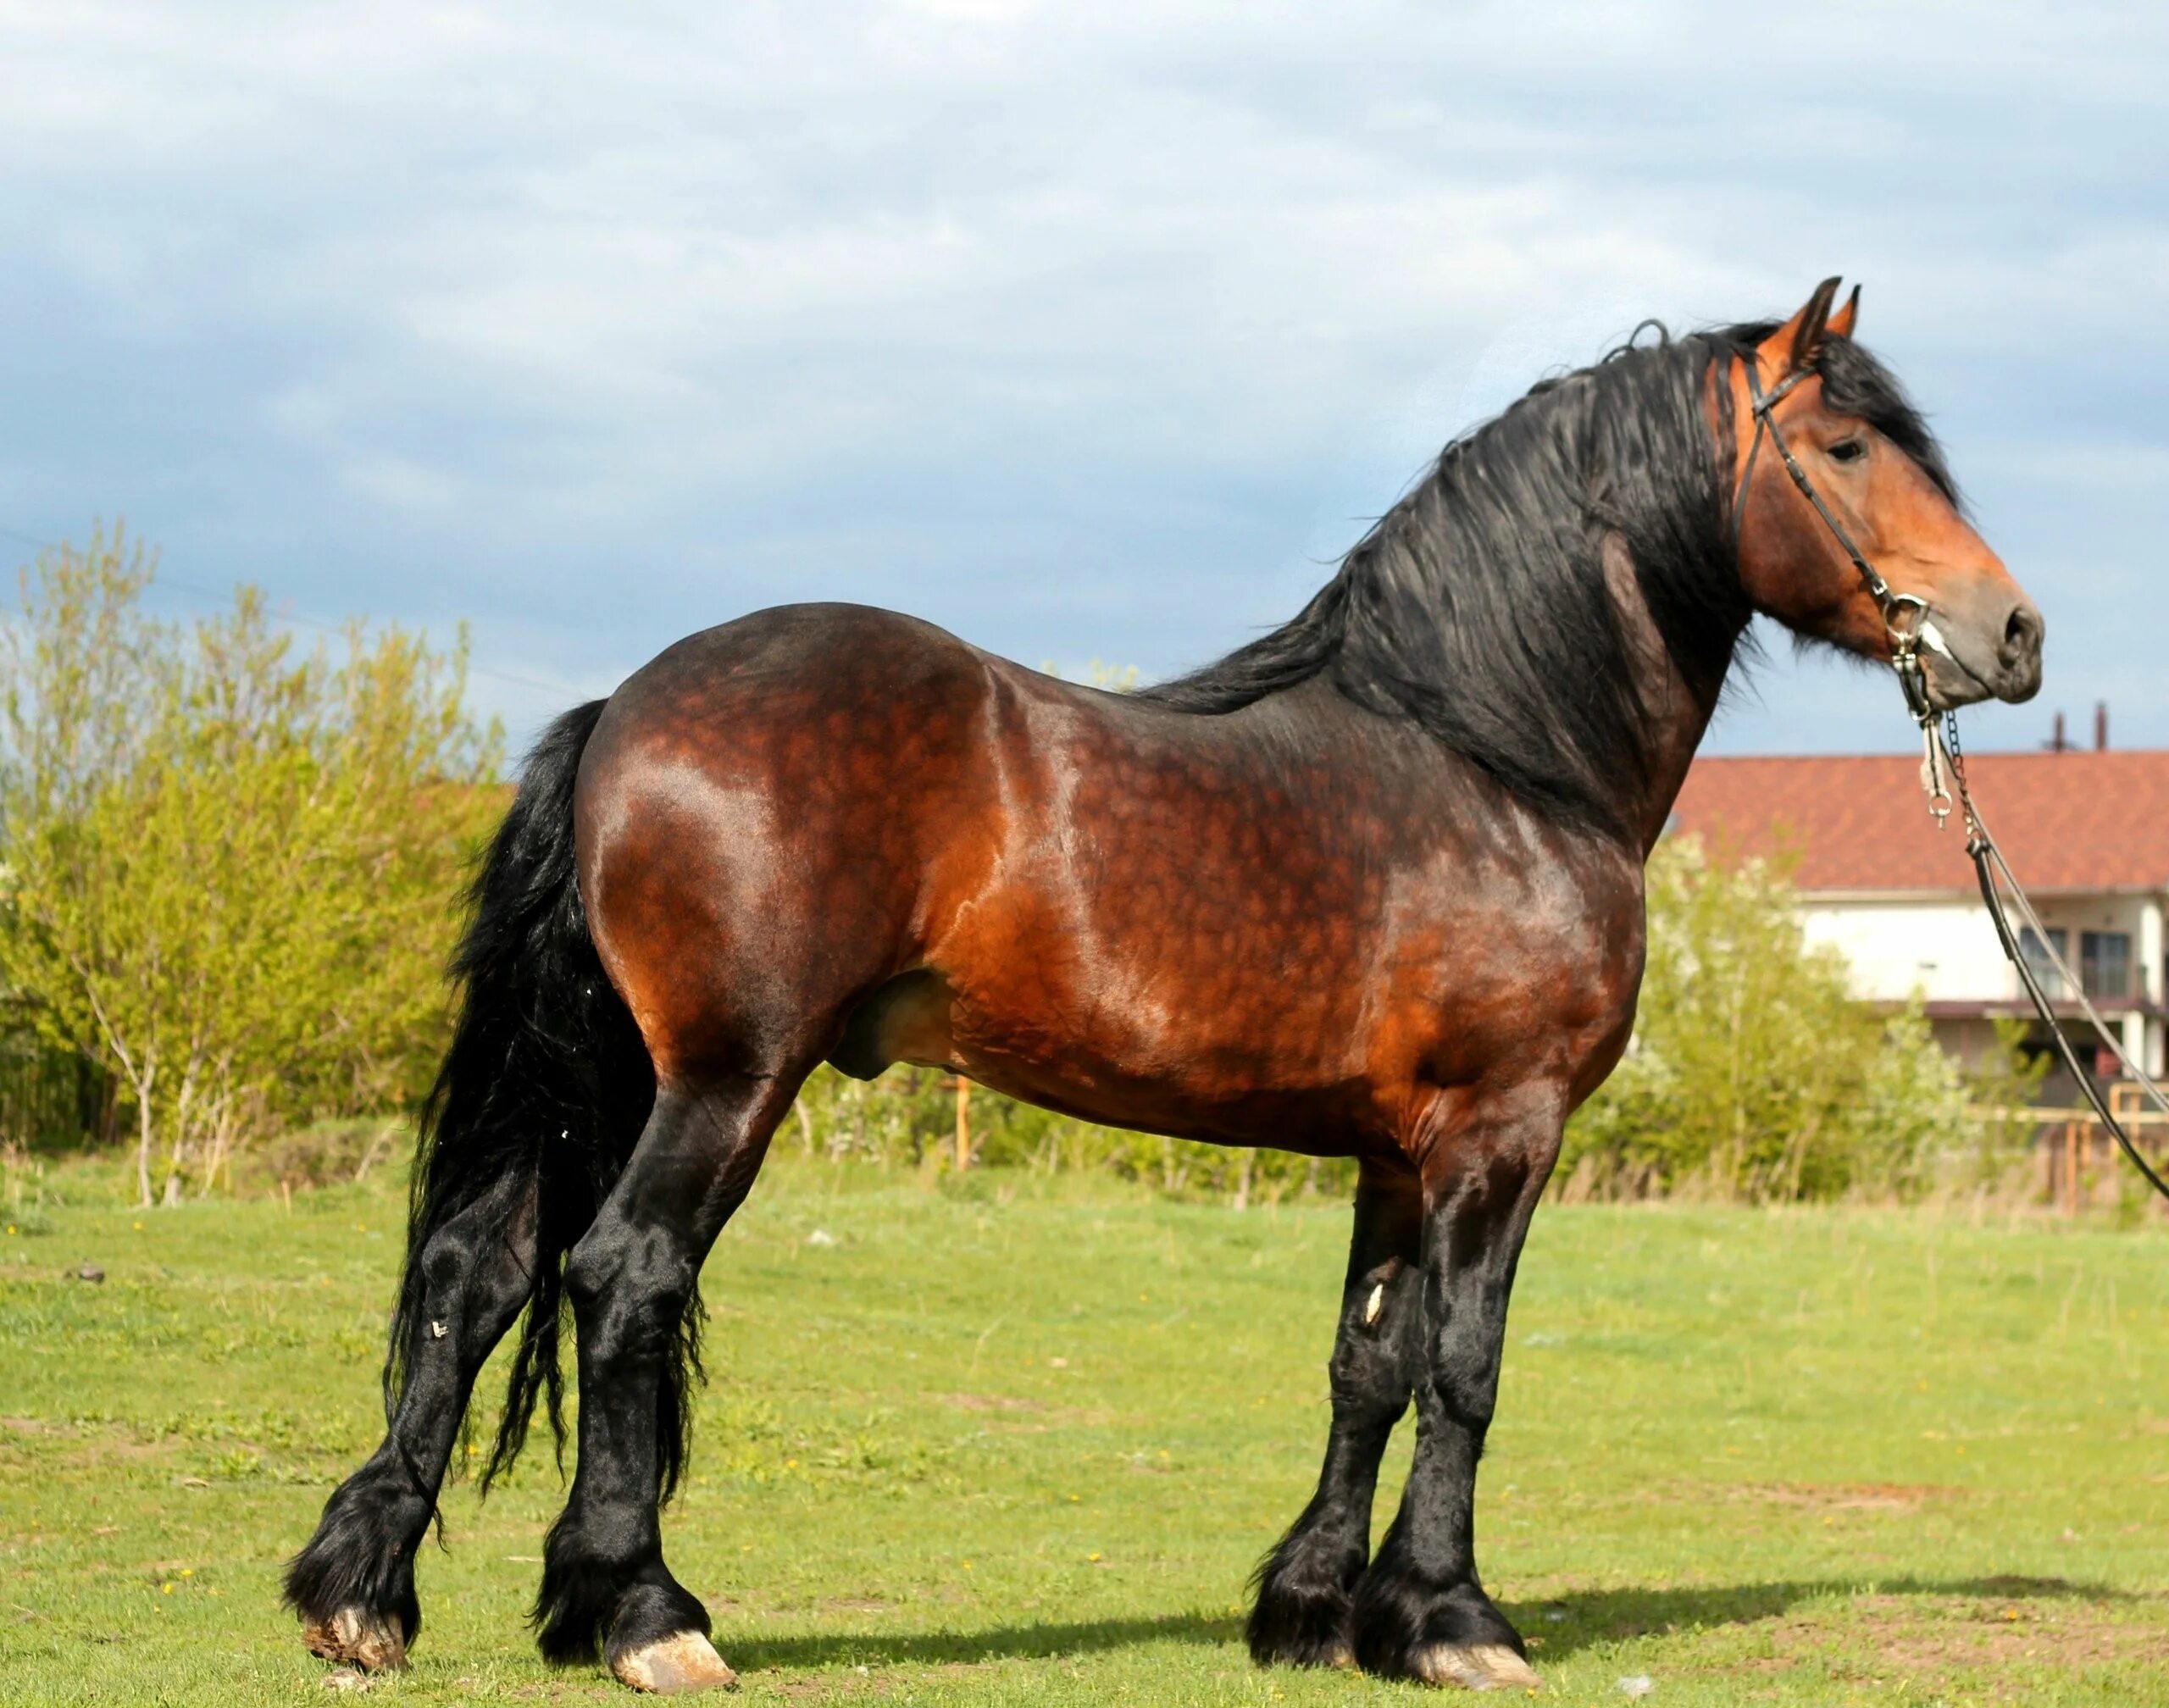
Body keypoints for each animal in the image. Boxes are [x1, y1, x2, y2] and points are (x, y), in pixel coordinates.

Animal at [292, 276, 2047, 1682]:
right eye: (1845, 449)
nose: (2014, 632)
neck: (1493, 761)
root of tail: (626, 708)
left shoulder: (1397, 1152)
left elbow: (1370, 1361)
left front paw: (1318, 1612)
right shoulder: (1503, 1131)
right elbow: (1465, 1367)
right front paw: (1455, 1619)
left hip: (613, 1074)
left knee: (478, 1274)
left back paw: (365, 1591)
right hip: (727, 1078)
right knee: (625, 1274)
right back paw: (645, 1614)